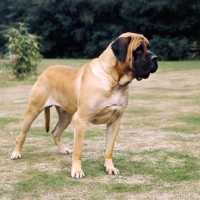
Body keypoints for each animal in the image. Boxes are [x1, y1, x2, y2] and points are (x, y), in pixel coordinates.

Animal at [10, 32, 158, 178]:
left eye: (148, 47)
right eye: (138, 49)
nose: (155, 58)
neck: (114, 80)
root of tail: (45, 71)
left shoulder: (115, 122)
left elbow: (109, 149)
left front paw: (110, 168)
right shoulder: (81, 120)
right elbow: (78, 150)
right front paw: (76, 171)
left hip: (66, 117)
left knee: (55, 132)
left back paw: (63, 149)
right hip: (33, 111)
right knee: (21, 135)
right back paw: (16, 153)